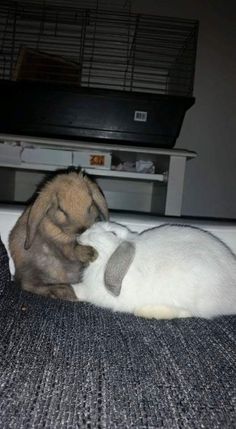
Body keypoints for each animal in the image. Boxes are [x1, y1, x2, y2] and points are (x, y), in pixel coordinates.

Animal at [9, 169, 109, 300]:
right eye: (61, 209)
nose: (82, 230)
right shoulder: (61, 245)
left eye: (91, 204)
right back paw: (62, 292)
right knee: (28, 284)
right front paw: (89, 253)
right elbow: (71, 251)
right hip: (35, 270)